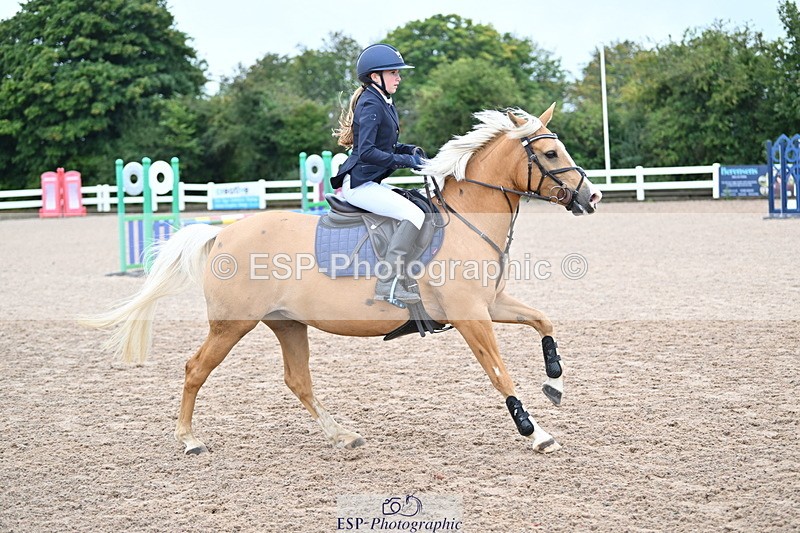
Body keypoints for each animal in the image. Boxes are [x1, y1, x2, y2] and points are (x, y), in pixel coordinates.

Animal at [83, 103, 602, 455]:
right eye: (550, 151)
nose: (592, 196)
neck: (465, 220)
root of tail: (222, 234)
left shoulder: (489, 305)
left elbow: (544, 321)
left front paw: (555, 383)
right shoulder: (470, 315)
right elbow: (499, 372)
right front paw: (536, 432)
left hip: (287, 323)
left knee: (298, 380)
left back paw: (341, 434)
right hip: (231, 325)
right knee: (195, 369)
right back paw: (190, 439)